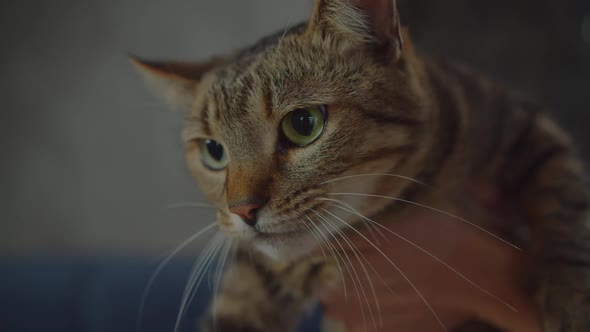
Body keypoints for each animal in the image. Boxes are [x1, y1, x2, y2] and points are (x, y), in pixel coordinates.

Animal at [132, 0, 588, 332]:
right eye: (214, 151)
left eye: (304, 124)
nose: (242, 210)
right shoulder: (256, 277)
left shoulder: (528, 126)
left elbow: (565, 204)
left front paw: (569, 295)